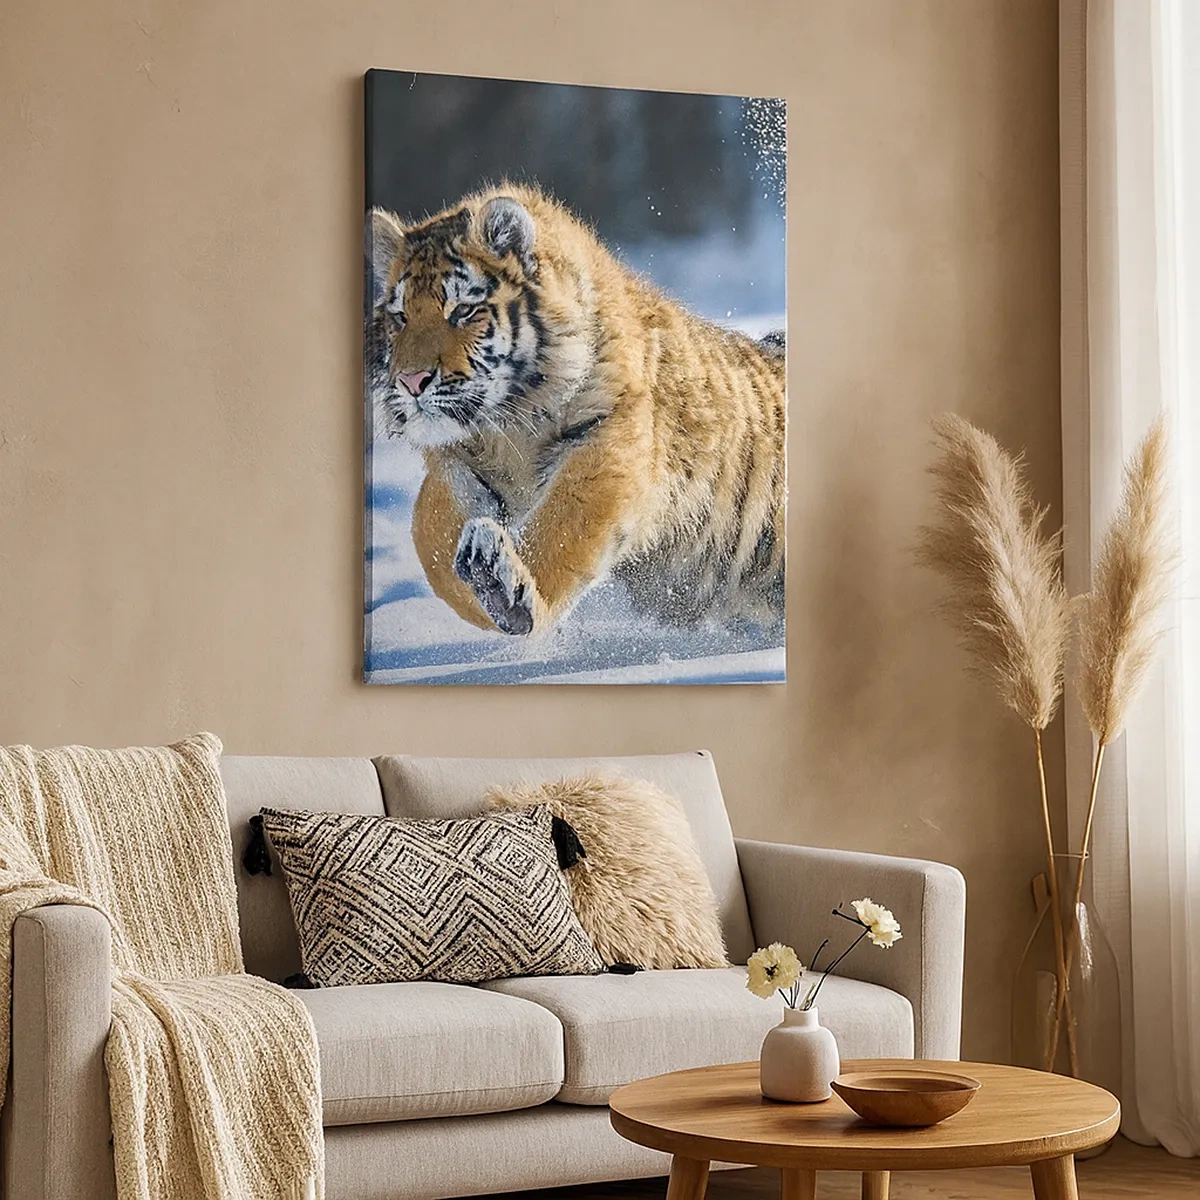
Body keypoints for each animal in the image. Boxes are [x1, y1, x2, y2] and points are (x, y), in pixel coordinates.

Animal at [367, 182, 786, 638]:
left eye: (463, 310)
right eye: (400, 317)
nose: (411, 381)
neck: (506, 426)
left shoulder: (609, 440)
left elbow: (563, 528)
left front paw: (509, 592)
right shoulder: (452, 462)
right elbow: (432, 539)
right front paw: (481, 582)